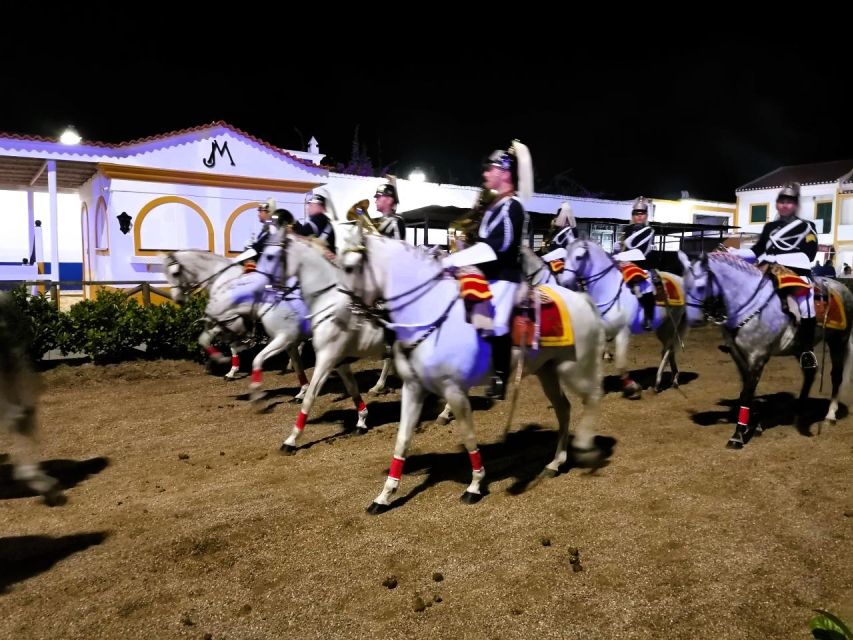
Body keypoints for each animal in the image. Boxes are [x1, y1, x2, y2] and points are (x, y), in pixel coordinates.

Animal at [336, 230, 608, 516]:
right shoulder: (413, 388)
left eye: (350, 267)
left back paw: (585, 447)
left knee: (592, 397)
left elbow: (467, 436)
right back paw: (555, 462)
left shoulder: (454, 391)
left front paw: (475, 485)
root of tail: (581, 299)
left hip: (575, 368)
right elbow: (402, 440)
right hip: (548, 371)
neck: (429, 312)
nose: (339, 315)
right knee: (564, 409)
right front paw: (384, 496)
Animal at [528, 241, 688, 398]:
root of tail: (679, 280)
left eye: (579, 257)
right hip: (662, 327)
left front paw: (632, 388)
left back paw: (658, 383)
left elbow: (620, 363)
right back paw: (674, 378)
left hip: (670, 324)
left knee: (667, 350)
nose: (566, 282)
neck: (607, 288)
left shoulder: (623, 332)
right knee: (669, 349)